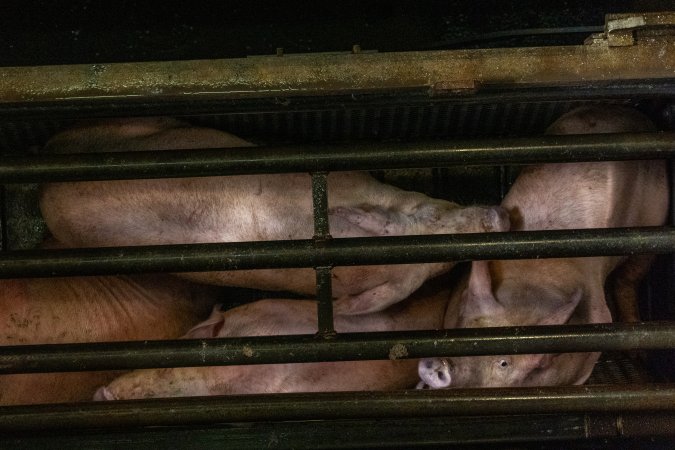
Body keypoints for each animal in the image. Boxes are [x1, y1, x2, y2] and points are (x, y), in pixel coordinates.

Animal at [420, 106, 668, 390]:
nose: (440, 369)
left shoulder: (599, 315)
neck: (532, 275)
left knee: (628, 279)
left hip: (655, 219)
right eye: (466, 336)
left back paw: (638, 354)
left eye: (506, 364)